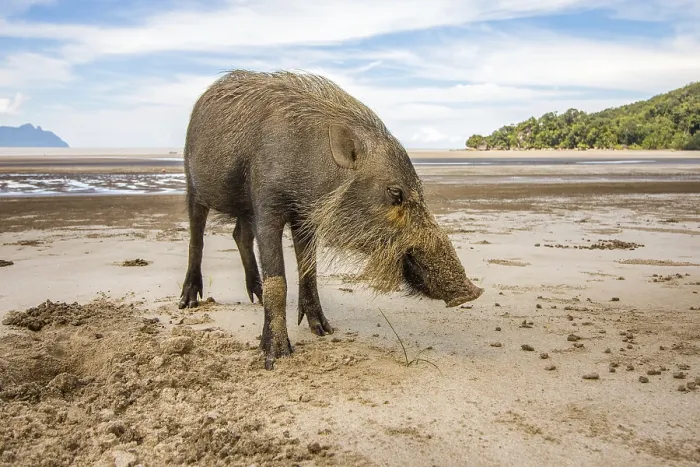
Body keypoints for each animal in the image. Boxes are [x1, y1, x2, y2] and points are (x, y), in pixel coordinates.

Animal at [178, 70, 484, 369]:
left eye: (421, 190)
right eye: (395, 192)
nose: (472, 292)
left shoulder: (304, 217)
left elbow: (309, 270)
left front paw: (324, 331)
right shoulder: (268, 206)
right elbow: (279, 280)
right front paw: (277, 357)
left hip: (244, 209)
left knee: (239, 234)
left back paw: (256, 296)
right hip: (193, 184)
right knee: (197, 236)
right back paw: (188, 302)